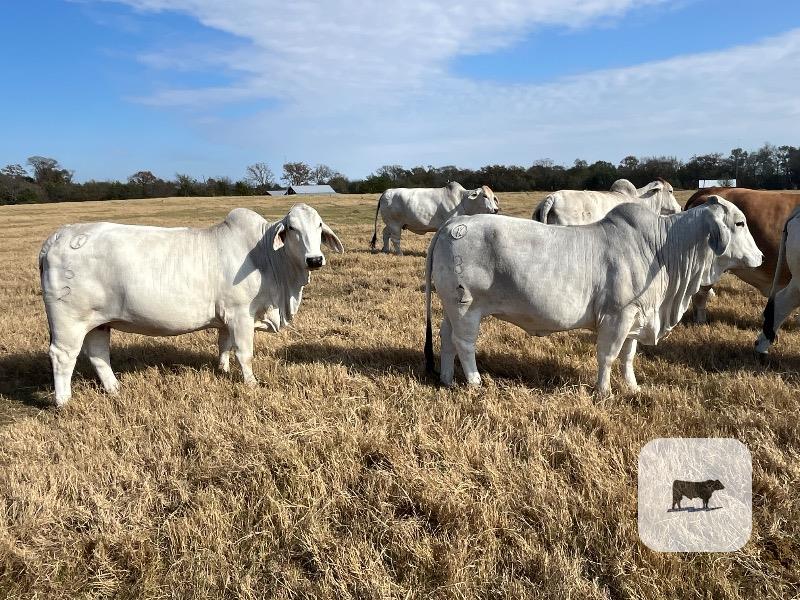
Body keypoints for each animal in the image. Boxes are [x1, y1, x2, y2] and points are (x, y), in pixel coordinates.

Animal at [39, 204, 344, 406]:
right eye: (292, 228)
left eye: (319, 226)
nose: (314, 259)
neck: (267, 257)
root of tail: (58, 237)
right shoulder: (241, 314)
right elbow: (244, 353)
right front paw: (251, 383)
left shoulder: (226, 318)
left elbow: (224, 346)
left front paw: (223, 370)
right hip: (68, 321)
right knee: (63, 356)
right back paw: (63, 401)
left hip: (97, 322)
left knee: (98, 353)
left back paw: (115, 389)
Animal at [369, 181, 499, 255]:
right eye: (484, 196)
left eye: (493, 197)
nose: (495, 209)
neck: (462, 201)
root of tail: (386, 192)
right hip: (395, 224)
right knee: (395, 239)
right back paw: (400, 254)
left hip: (390, 224)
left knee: (385, 233)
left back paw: (385, 250)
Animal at [424, 197, 762, 396]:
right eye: (740, 223)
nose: (760, 257)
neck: (661, 249)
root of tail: (453, 224)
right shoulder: (618, 315)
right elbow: (608, 355)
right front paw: (604, 392)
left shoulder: (637, 316)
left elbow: (628, 356)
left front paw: (633, 388)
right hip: (467, 306)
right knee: (464, 343)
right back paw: (475, 383)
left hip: (452, 306)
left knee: (445, 336)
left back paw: (446, 378)